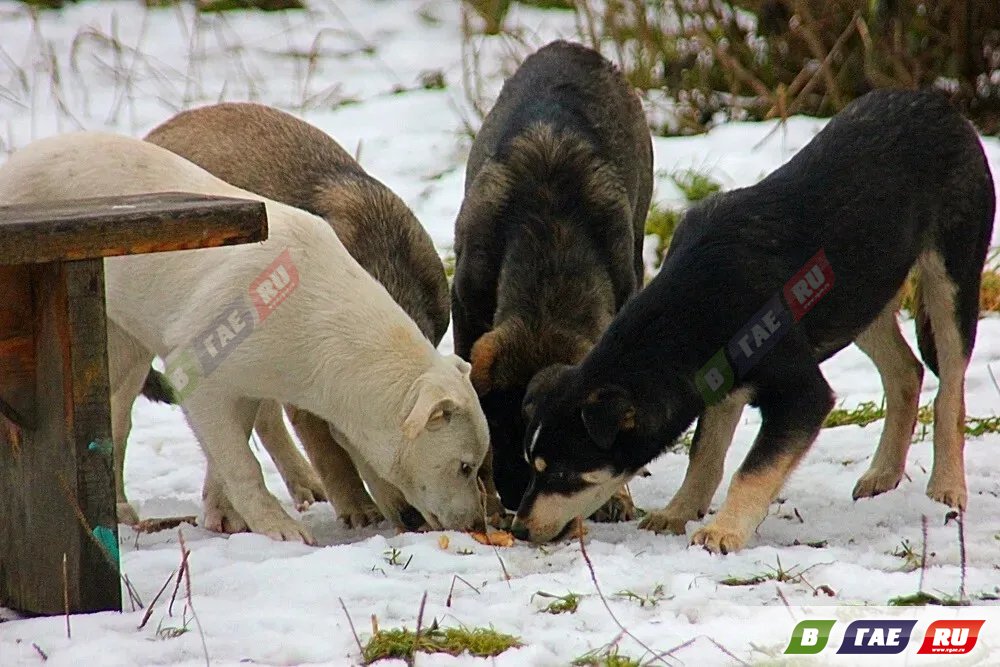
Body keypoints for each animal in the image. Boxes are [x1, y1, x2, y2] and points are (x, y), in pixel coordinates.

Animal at [512, 88, 996, 552]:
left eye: (562, 476)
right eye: (531, 468)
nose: (518, 530)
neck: (691, 310)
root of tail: (944, 108)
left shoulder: (801, 394)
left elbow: (754, 469)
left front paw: (722, 532)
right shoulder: (718, 380)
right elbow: (704, 453)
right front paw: (678, 512)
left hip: (950, 276)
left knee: (949, 388)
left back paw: (947, 486)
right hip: (861, 295)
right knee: (906, 371)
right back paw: (883, 474)